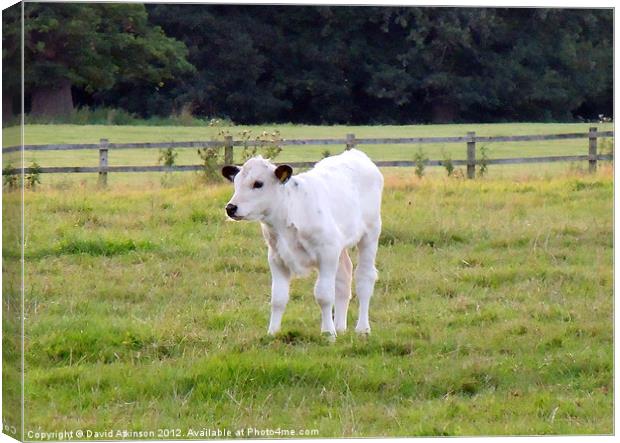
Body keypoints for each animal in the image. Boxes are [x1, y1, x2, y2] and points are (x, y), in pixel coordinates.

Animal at [220, 148, 380, 336]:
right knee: (344, 278)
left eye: (258, 183)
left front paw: (328, 333)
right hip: (340, 248)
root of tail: (355, 153)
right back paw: (340, 327)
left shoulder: (327, 253)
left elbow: (324, 295)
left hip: (370, 234)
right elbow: (278, 298)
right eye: (235, 183)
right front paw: (272, 333)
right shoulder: (277, 258)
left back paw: (362, 329)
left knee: (364, 278)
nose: (230, 208)